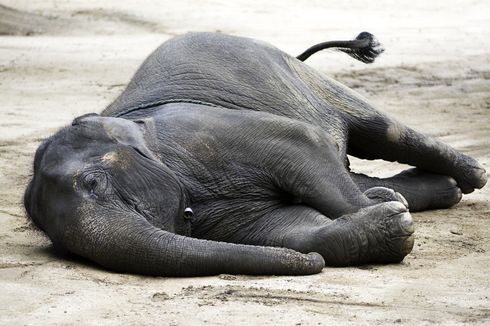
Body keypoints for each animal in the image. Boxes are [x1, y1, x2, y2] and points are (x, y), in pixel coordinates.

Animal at [24, 31, 488, 276]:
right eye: (65, 249)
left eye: (94, 182)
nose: (312, 265)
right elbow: (288, 228)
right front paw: (389, 217)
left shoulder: (205, 132)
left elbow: (300, 144)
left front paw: (389, 213)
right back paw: (416, 193)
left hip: (294, 73)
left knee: (379, 132)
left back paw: (468, 177)